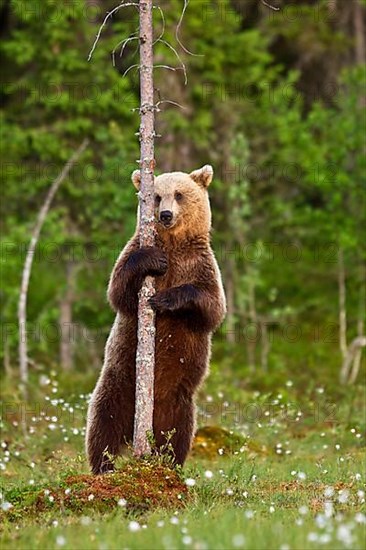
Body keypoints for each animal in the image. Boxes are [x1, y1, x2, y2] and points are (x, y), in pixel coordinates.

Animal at [86, 165, 226, 474]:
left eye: (179, 194)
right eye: (156, 196)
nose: (165, 214)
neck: (174, 245)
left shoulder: (201, 265)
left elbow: (212, 308)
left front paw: (165, 300)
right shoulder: (134, 249)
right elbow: (118, 290)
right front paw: (150, 260)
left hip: (178, 401)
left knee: (179, 434)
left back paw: (169, 463)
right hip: (119, 383)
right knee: (103, 423)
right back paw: (104, 466)